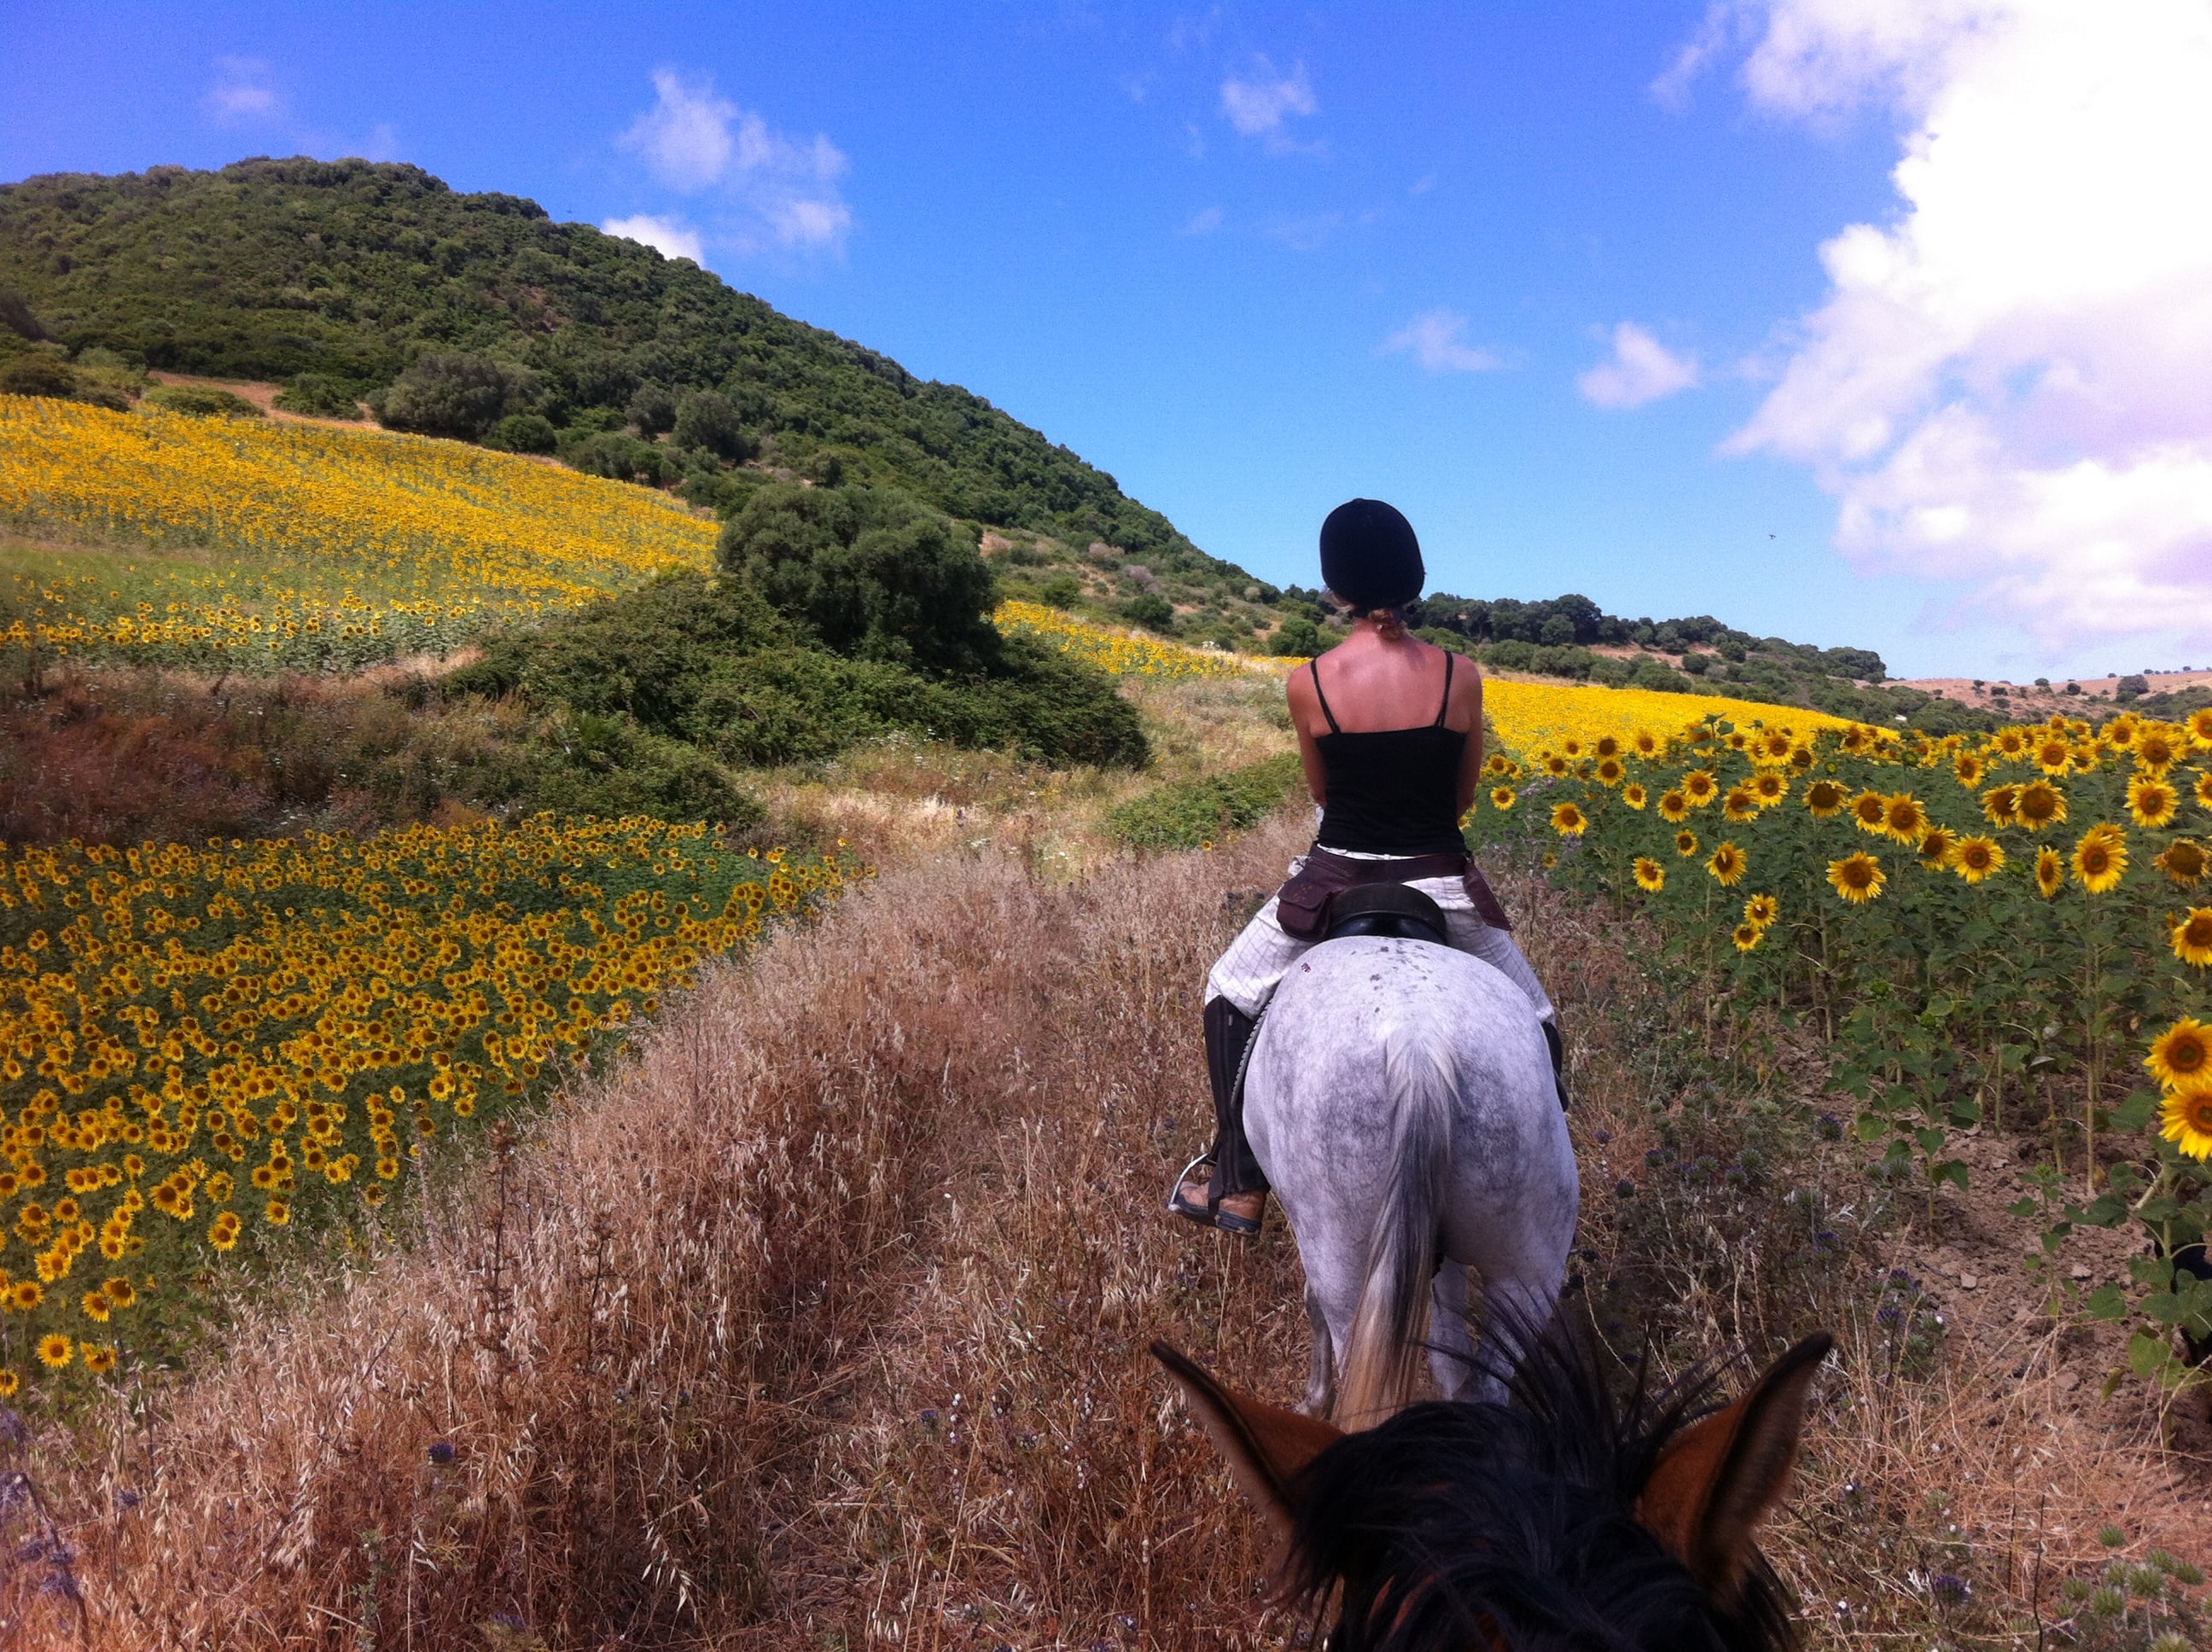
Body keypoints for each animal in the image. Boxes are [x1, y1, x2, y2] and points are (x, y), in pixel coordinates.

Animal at [1247, 937, 1575, 1424]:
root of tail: (1419, 1043)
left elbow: (1312, 1305)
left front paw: (1313, 1400)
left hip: (1348, 1275)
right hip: (1530, 1275)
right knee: (1484, 1380)